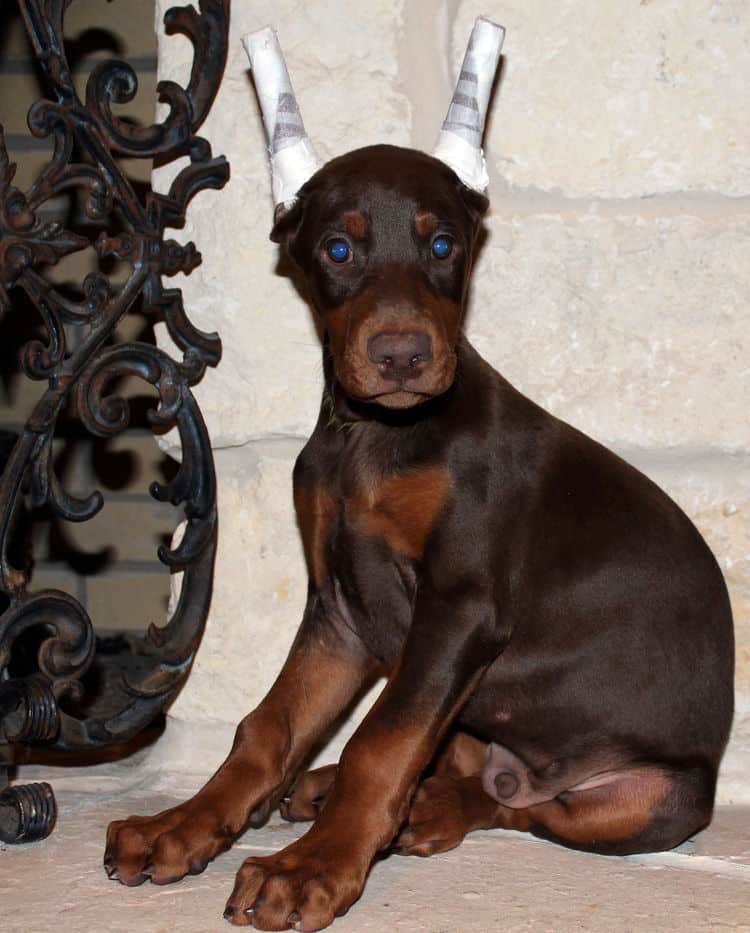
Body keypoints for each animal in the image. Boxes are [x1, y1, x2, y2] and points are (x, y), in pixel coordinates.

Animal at [106, 144, 736, 924]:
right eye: (338, 249)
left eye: (442, 246)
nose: (402, 355)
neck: (379, 435)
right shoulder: (339, 614)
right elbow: (270, 725)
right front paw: (180, 824)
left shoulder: (460, 607)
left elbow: (382, 742)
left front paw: (311, 865)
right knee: (469, 764)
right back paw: (338, 787)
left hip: (649, 798)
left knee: (516, 805)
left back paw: (429, 810)